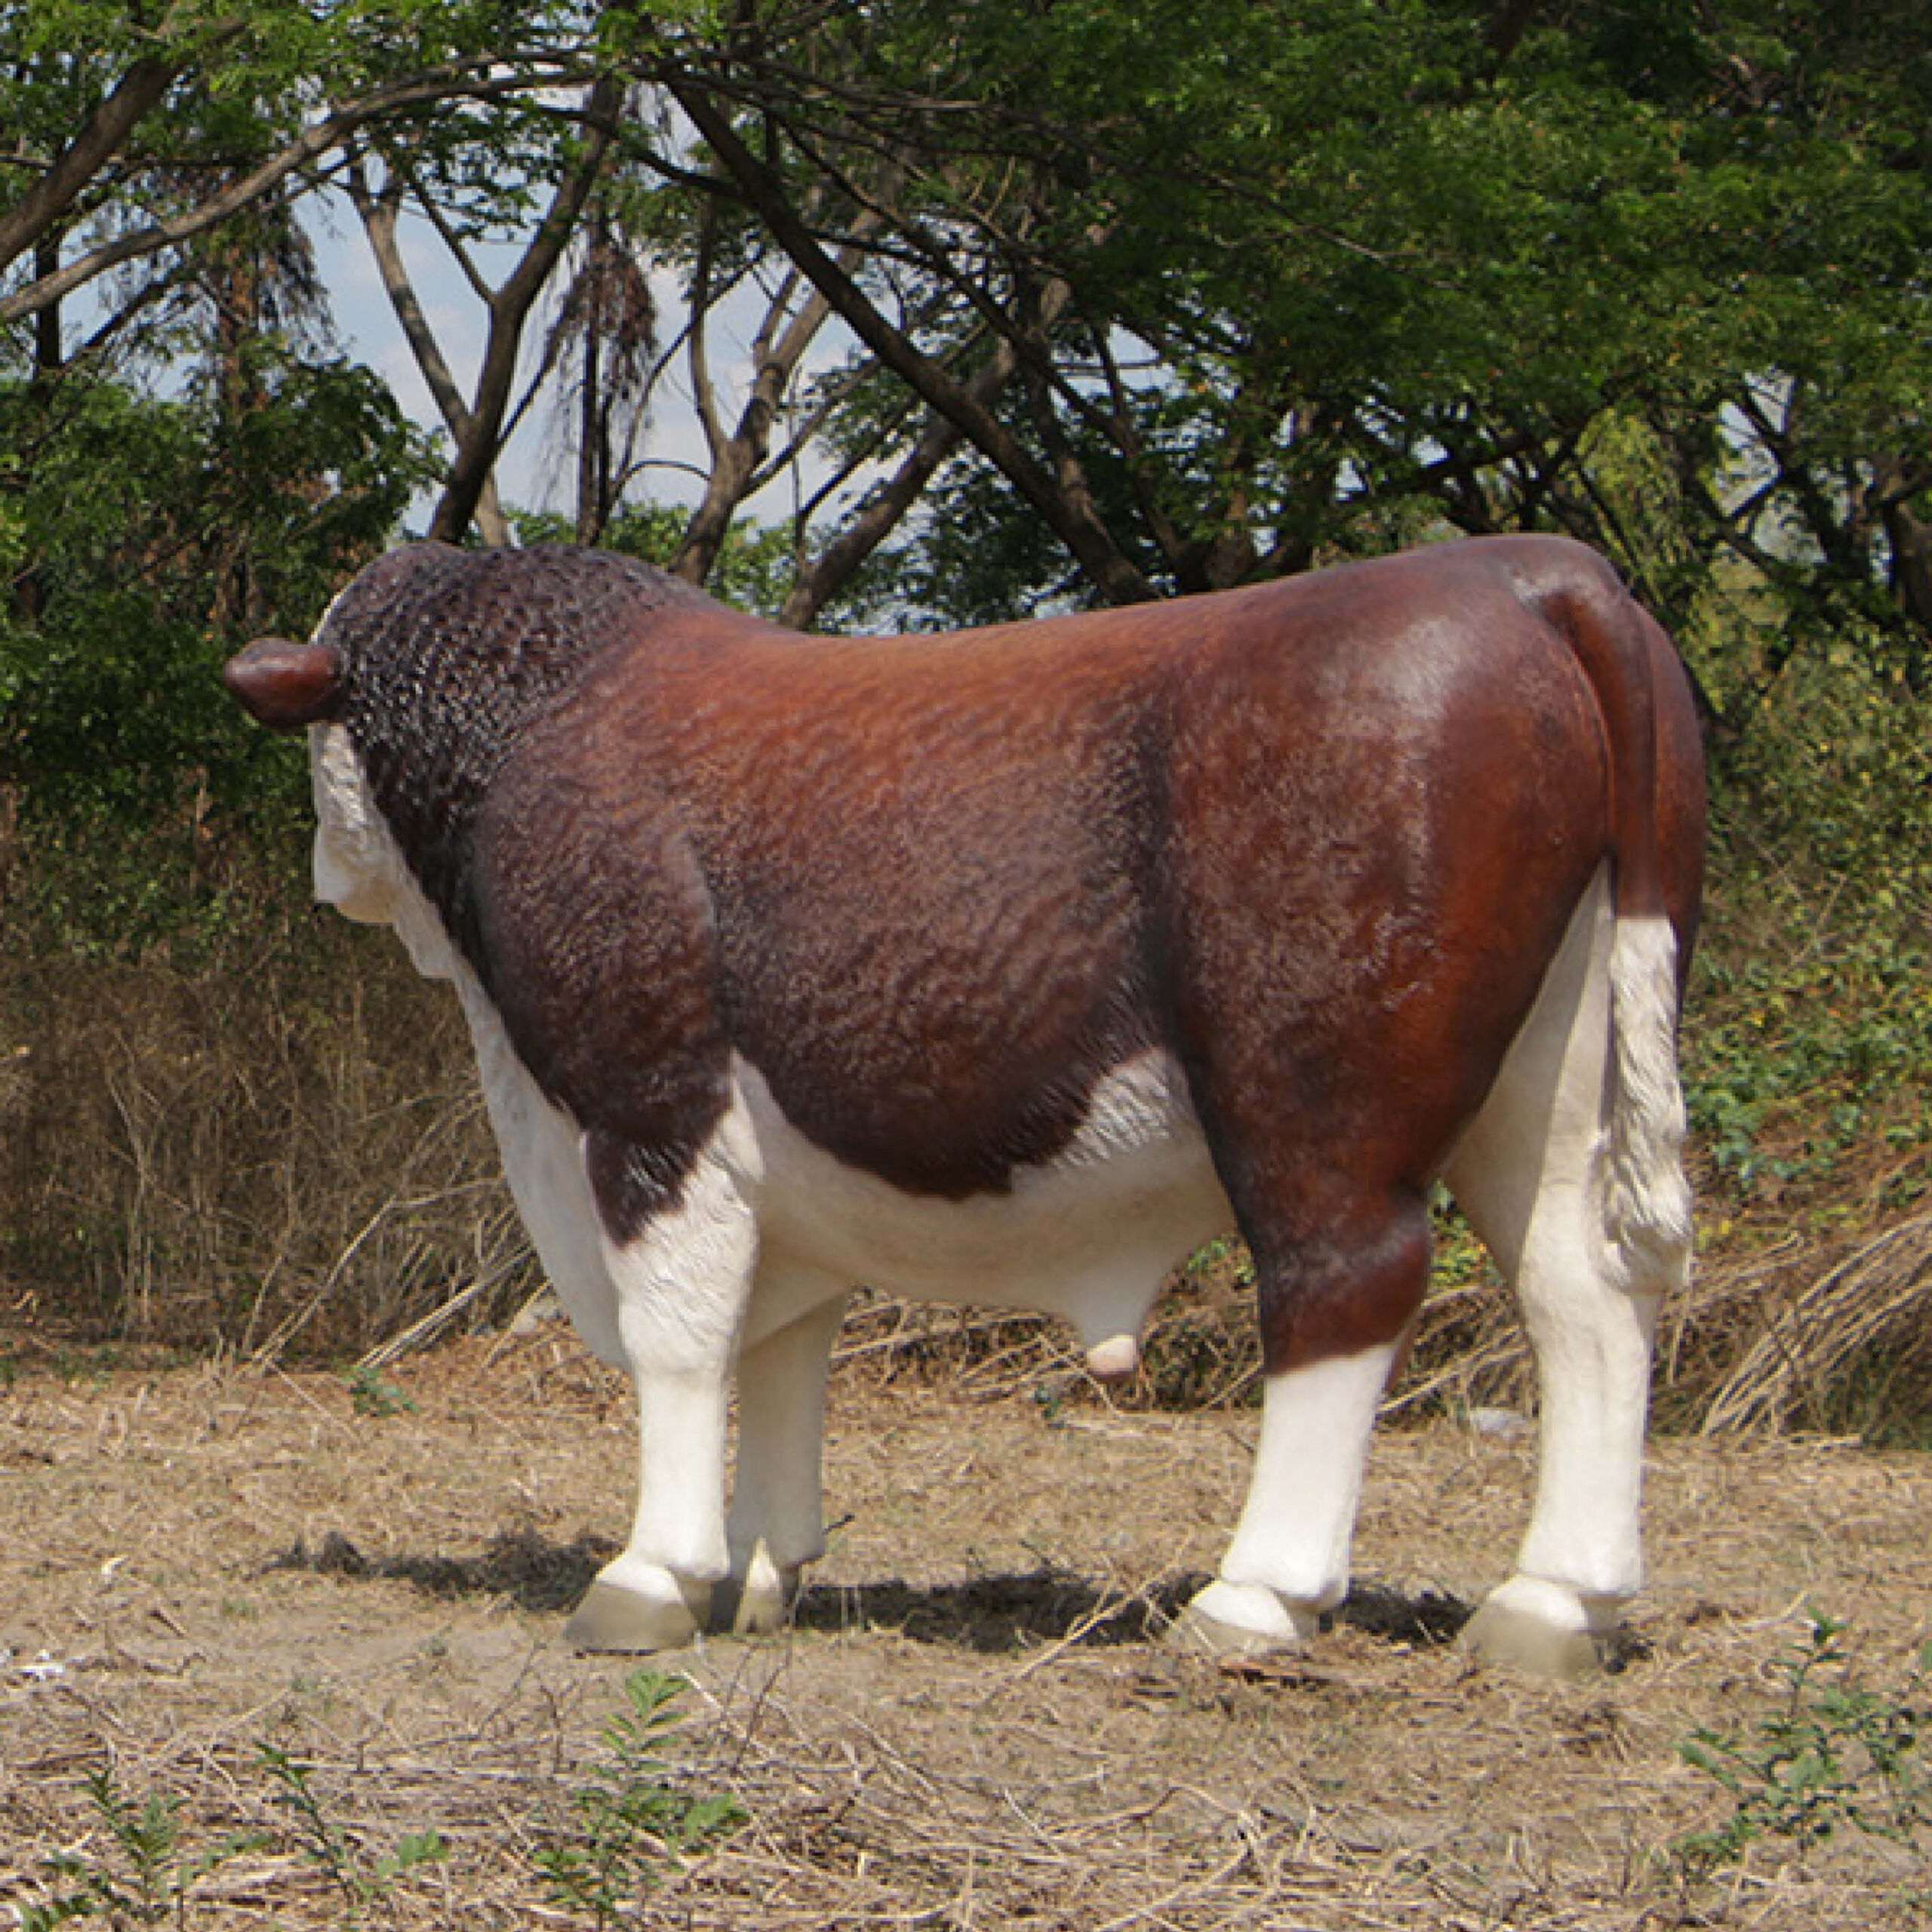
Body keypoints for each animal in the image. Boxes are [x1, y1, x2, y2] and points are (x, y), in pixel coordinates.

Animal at [225, 533, 1703, 1676]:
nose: (324, 874)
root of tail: (1523, 571)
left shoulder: (652, 1102)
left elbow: (681, 1340)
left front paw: (654, 1577)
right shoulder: (772, 1163)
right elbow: (785, 1342)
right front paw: (761, 1574)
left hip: (1314, 1099)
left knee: (1346, 1280)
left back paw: (1254, 1598)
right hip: (1542, 1077)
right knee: (1583, 1290)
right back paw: (1557, 1603)